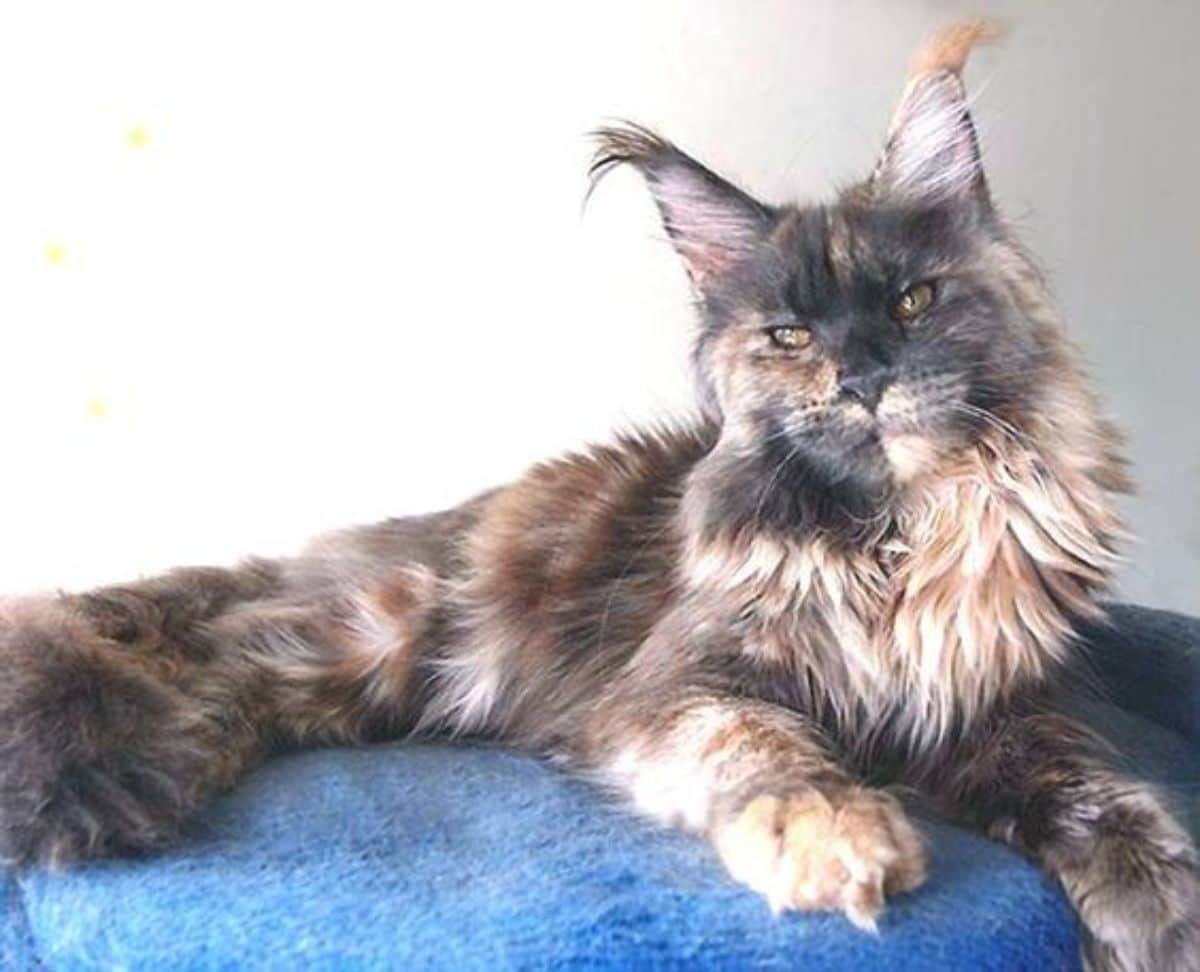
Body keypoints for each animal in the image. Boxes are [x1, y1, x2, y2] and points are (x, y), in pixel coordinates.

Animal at [0, 17, 1195, 969]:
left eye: (912, 301)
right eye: (790, 337)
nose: (862, 380)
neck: (892, 538)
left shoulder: (993, 706)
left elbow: (1095, 788)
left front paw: (1159, 912)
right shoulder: (680, 685)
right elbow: (767, 748)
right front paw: (835, 837)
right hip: (376, 635)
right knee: (206, 662)